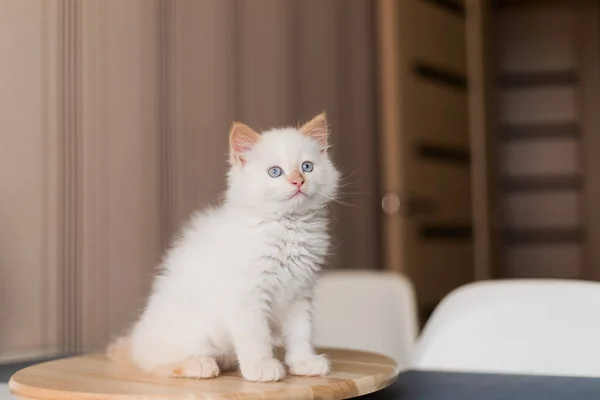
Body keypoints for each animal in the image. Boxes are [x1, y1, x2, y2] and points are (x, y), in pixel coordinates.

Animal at [108, 111, 340, 382]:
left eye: (307, 167)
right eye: (275, 172)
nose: (298, 182)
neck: (288, 226)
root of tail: (136, 339)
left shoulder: (299, 293)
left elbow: (301, 334)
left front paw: (304, 363)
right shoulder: (247, 296)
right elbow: (256, 337)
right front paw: (261, 368)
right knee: (153, 363)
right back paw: (200, 365)